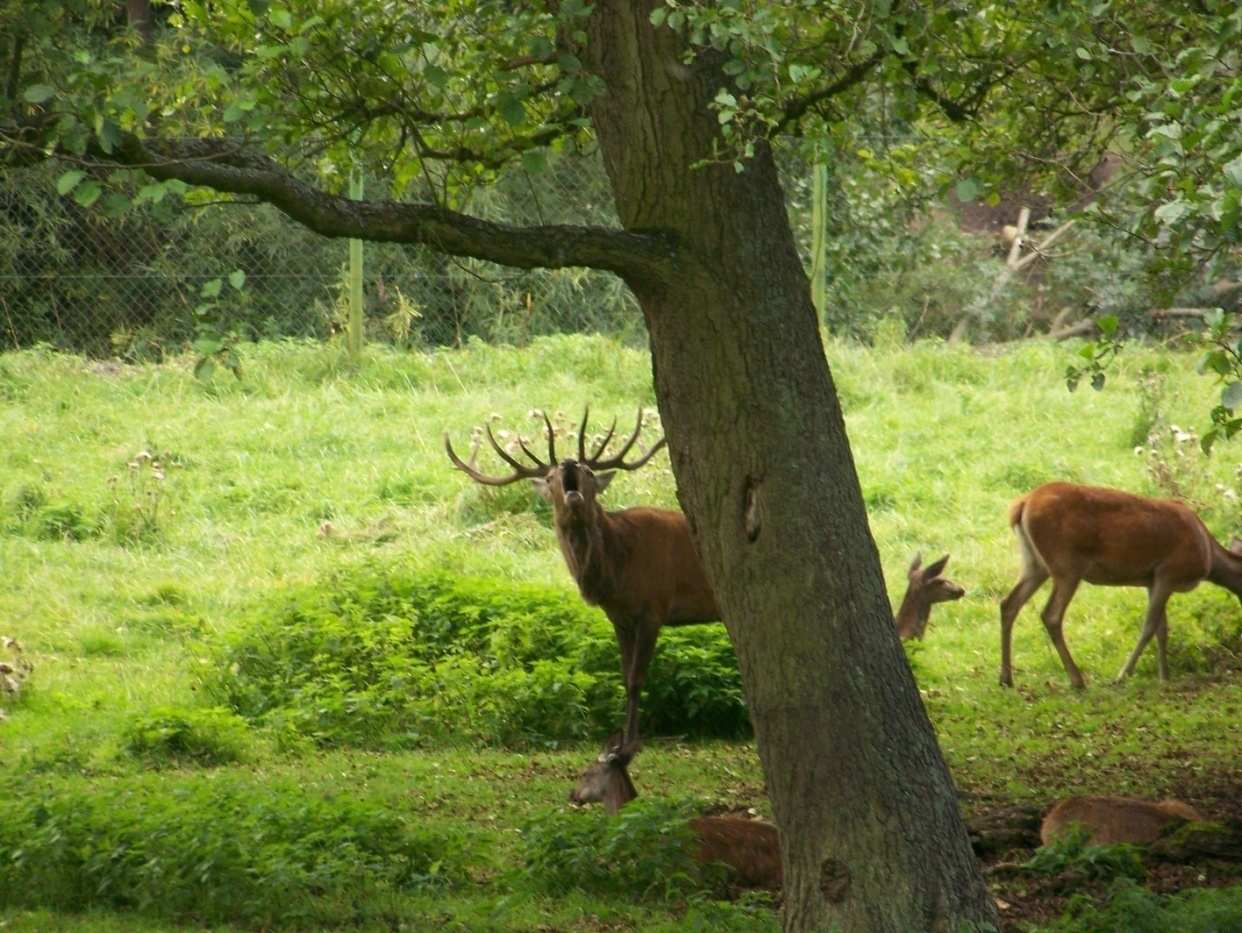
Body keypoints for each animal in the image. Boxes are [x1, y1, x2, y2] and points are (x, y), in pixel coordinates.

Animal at [444, 407, 720, 760]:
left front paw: (630, 744)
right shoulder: (620, 618)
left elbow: (636, 678)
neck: (616, 572)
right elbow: (624, 675)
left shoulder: (654, 607)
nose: (568, 463)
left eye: (589, 471)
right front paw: (621, 740)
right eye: (549, 478)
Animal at [998, 484, 1242, 690]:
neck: (1208, 556)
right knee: (1051, 614)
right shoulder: (1168, 572)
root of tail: (1022, 504)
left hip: (1034, 563)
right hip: (1066, 564)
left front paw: (1164, 677)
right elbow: (1149, 627)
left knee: (1008, 604)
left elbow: (1162, 629)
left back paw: (1006, 678)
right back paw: (1077, 680)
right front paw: (1123, 675)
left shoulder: (1153, 580)